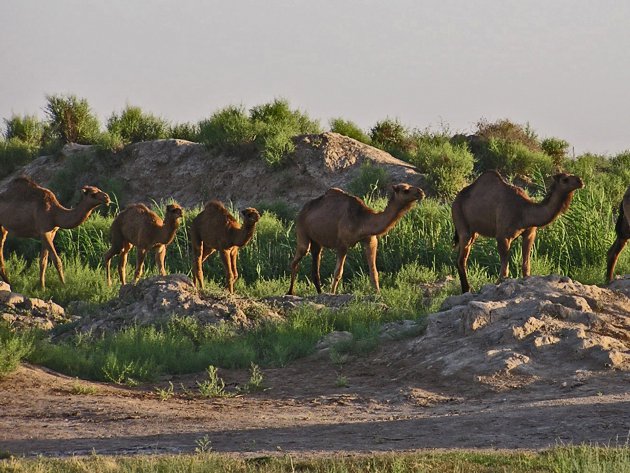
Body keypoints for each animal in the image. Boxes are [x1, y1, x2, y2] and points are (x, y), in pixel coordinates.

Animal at [288, 184, 428, 296]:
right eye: (405, 190)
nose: (421, 192)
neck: (362, 220)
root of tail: (301, 211)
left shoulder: (370, 240)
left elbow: (373, 271)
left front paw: (378, 293)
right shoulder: (342, 244)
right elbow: (338, 272)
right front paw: (332, 293)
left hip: (317, 242)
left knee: (315, 265)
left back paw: (319, 292)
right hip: (302, 232)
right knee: (296, 261)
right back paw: (290, 292)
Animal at [454, 171, 588, 294]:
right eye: (565, 179)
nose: (580, 181)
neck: (524, 211)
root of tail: (455, 200)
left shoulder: (530, 234)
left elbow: (526, 266)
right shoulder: (502, 236)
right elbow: (504, 269)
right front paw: (498, 285)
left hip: (474, 233)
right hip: (462, 224)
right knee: (461, 260)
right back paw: (467, 290)